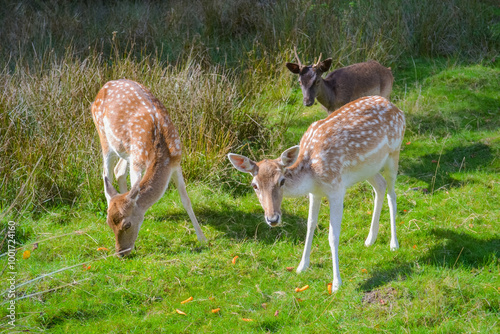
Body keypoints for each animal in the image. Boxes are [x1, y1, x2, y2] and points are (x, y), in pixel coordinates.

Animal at [91, 79, 206, 256]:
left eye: (127, 224)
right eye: (108, 223)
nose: (120, 253)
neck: (161, 148)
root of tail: (104, 86)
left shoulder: (175, 162)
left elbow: (186, 200)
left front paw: (202, 238)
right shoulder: (137, 162)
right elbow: (136, 187)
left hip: (126, 150)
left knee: (118, 171)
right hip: (104, 136)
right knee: (106, 173)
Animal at [229, 95, 404, 290]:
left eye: (281, 181)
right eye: (254, 185)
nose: (272, 219)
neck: (312, 174)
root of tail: (396, 108)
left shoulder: (336, 188)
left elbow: (333, 235)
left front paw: (336, 283)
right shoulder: (315, 193)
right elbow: (310, 224)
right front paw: (301, 266)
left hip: (394, 152)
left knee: (392, 194)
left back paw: (394, 244)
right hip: (368, 168)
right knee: (380, 186)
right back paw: (370, 239)